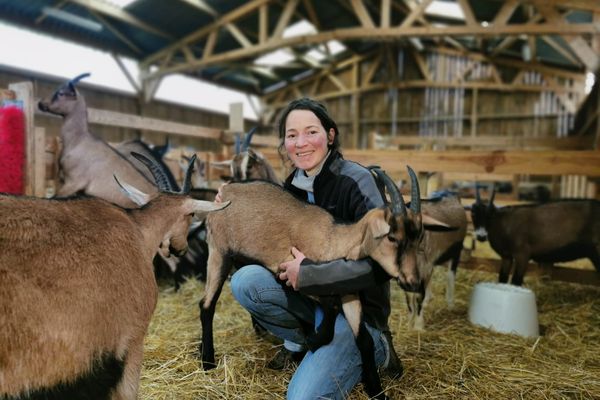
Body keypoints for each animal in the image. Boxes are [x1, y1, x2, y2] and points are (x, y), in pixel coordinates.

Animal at [404, 192, 468, 330]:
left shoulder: (424, 268)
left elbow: (418, 296)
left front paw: (418, 326)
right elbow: (408, 296)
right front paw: (409, 323)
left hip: (456, 251)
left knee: (450, 274)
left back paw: (450, 303)